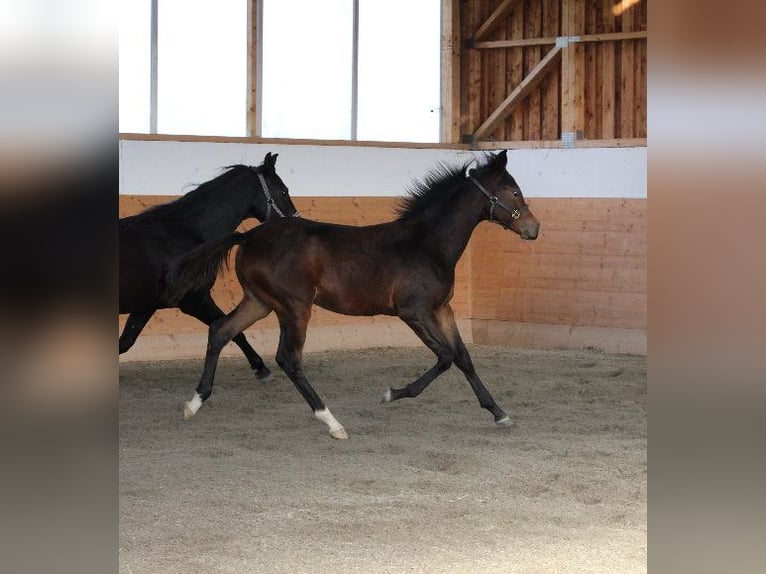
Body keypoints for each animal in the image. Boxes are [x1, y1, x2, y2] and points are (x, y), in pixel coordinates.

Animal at [119, 152, 298, 382]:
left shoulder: (146, 305)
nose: (296, 221)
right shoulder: (195, 300)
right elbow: (232, 331)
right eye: (284, 191)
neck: (188, 232)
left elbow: (125, 342)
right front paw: (261, 368)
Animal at [167, 150, 540, 438]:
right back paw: (332, 422)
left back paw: (193, 403)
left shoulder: (442, 310)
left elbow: (463, 357)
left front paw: (499, 412)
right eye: (513, 192)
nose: (534, 228)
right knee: (288, 358)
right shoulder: (414, 312)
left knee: (221, 332)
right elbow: (445, 357)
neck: (426, 243)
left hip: (259, 302)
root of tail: (247, 236)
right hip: (294, 307)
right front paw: (392, 394)